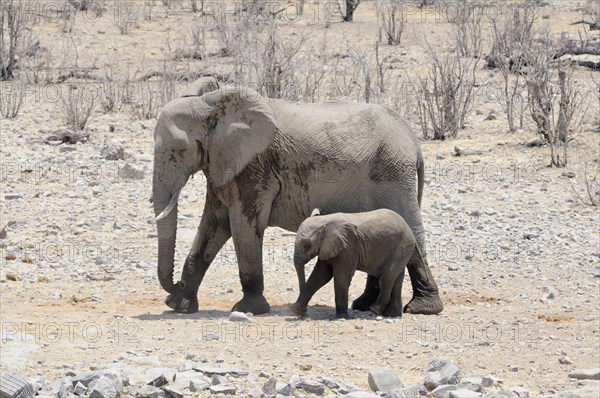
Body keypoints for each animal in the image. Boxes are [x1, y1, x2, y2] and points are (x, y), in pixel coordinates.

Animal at [288, 208, 424, 318]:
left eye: (307, 245)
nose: (305, 313)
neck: (325, 220)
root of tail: (409, 229)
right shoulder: (328, 248)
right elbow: (321, 275)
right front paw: (295, 310)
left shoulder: (348, 248)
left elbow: (341, 276)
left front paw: (341, 317)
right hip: (401, 250)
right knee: (396, 280)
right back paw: (392, 315)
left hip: (401, 248)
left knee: (386, 277)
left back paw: (374, 310)